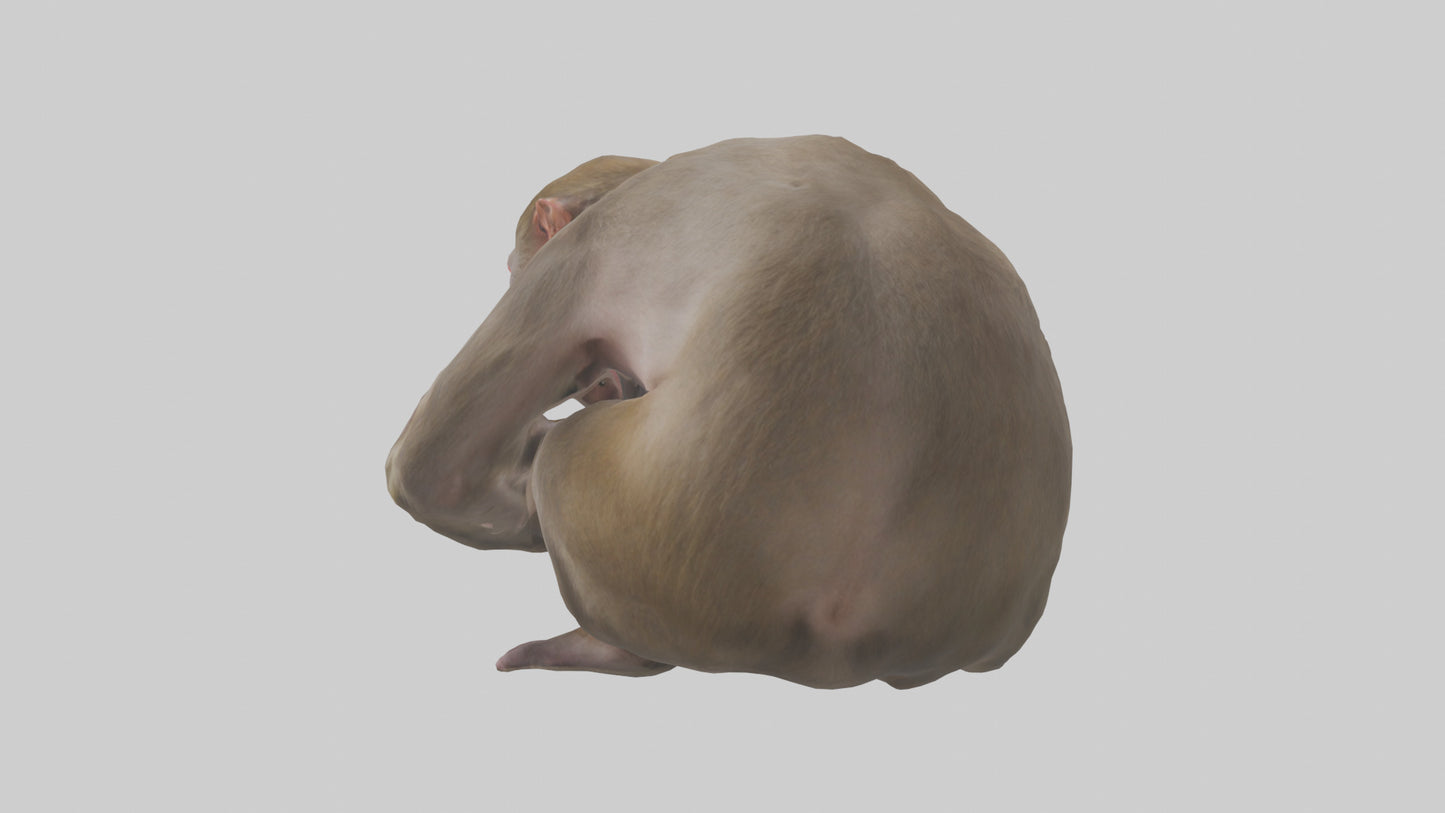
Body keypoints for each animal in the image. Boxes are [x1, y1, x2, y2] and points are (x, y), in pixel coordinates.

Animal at [386, 136, 1071, 689]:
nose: (606, 383)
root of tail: (837, 658)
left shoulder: (586, 249)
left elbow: (434, 471)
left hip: (653, 559)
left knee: (562, 458)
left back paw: (605, 645)